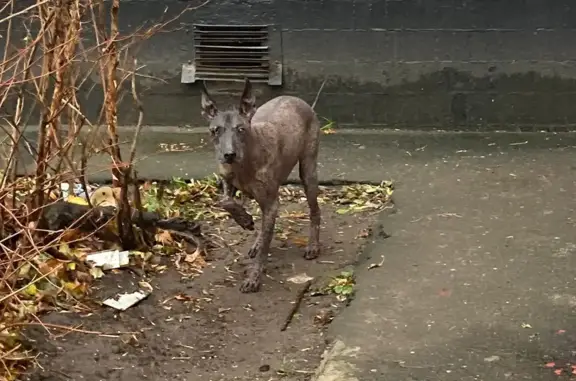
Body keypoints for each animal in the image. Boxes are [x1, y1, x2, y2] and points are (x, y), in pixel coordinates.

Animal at [200, 78, 322, 292]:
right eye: (215, 131)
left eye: (241, 129)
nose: (229, 155)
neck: (244, 164)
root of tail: (297, 99)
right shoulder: (227, 180)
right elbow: (224, 201)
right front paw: (244, 220)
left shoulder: (271, 202)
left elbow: (266, 244)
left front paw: (254, 277)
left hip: (308, 171)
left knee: (315, 210)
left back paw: (313, 246)